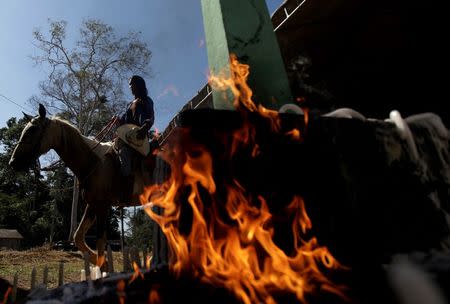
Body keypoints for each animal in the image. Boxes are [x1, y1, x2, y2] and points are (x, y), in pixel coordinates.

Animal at [8, 104, 156, 268]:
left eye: (33, 130)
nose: (13, 162)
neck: (93, 163)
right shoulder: (92, 205)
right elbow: (78, 237)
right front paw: (100, 263)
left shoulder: (102, 206)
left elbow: (100, 241)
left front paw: (104, 265)